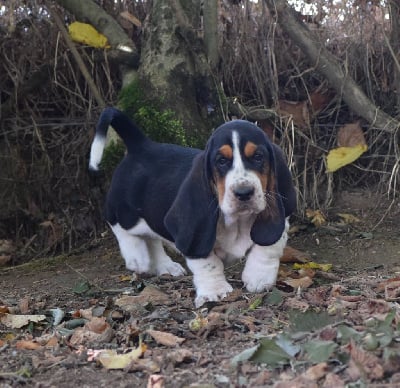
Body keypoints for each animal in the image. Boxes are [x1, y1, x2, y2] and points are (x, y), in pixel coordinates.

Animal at [90, 107, 296, 306]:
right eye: (221, 161)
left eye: (258, 157)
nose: (244, 193)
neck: (237, 220)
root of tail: (141, 145)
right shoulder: (193, 236)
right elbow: (208, 263)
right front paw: (215, 291)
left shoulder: (280, 221)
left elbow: (269, 246)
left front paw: (258, 277)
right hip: (125, 212)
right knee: (117, 223)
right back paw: (136, 256)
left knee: (152, 238)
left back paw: (165, 266)